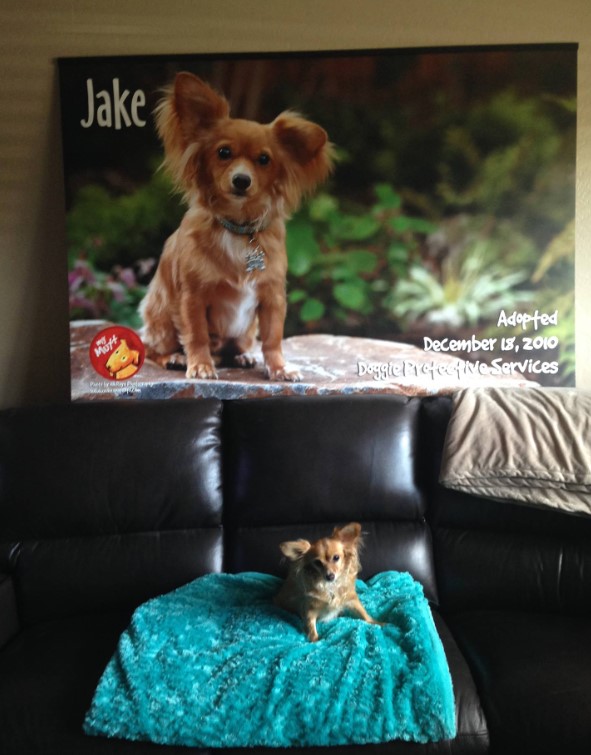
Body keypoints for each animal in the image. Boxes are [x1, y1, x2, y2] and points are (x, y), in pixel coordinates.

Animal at [138, 73, 332, 380]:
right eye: (223, 152)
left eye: (264, 159)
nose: (242, 180)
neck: (239, 230)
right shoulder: (192, 298)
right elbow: (196, 335)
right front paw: (200, 365)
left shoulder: (273, 297)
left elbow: (273, 339)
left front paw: (279, 368)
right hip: (162, 319)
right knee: (151, 348)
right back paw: (175, 358)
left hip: (244, 331)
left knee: (236, 347)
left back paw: (242, 357)